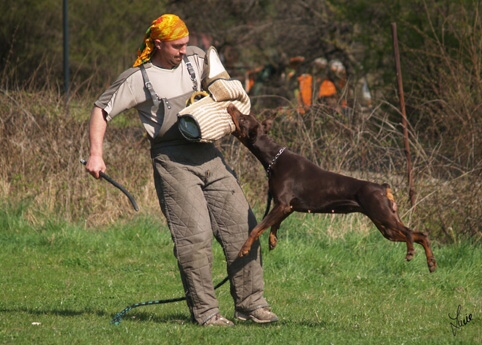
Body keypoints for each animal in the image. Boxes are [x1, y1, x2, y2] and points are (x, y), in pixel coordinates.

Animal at [227, 104, 436, 272]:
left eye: (243, 118)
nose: (230, 105)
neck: (274, 158)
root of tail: (383, 187)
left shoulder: (282, 204)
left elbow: (257, 228)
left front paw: (245, 248)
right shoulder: (288, 207)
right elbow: (273, 224)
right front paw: (272, 240)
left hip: (383, 214)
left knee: (410, 233)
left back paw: (411, 252)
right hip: (386, 227)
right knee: (420, 235)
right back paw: (431, 263)